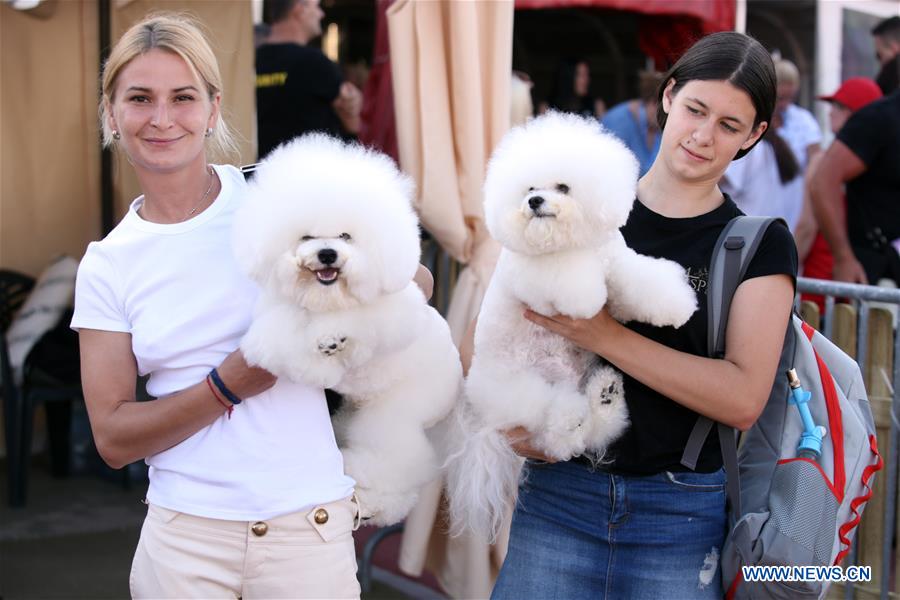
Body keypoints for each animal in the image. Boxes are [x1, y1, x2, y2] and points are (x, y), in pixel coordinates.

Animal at [236, 135, 460, 524]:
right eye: (306, 236)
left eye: (346, 236)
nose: (327, 253)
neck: (324, 297)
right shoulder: (279, 313)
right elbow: (281, 335)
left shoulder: (395, 312)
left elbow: (361, 319)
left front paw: (332, 339)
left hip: (397, 412)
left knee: (397, 464)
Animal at [448, 112, 696, 540]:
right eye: (530, 188)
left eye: (562, 186)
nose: (534, 202)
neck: (570, 243)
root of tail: (487, 423)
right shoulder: (544, 278)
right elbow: (574, 283)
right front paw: (588, 295)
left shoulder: (617, 263)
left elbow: (641, 281)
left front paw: (677, 304)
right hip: (521, 389)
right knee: (553, 432)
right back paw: (569, 420)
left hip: (576, 381)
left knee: (593, 431)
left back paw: (606, 398)